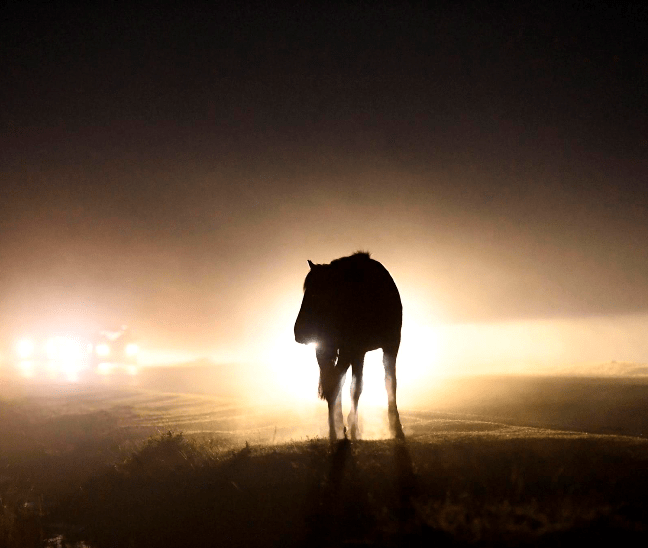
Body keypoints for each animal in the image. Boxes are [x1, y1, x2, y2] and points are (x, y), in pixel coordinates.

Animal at [294, 252, 404, 441]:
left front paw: (394, 427)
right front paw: (347, 428)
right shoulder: (351, 349)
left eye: (318, 293)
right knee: (333, 384)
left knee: (337, 383)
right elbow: (346, 386)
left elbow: (386, 383)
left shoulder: (388, 344)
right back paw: (336, 428)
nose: (299, 332)